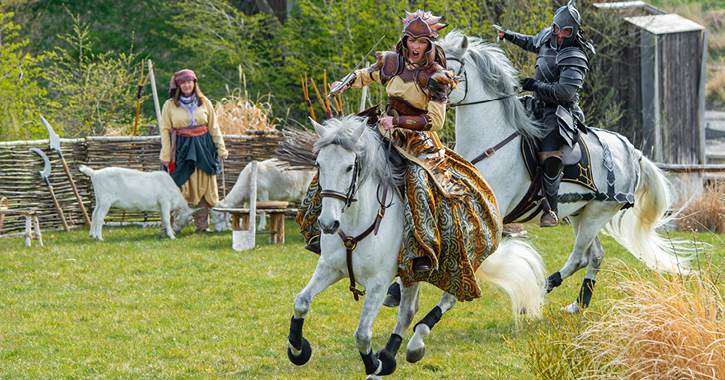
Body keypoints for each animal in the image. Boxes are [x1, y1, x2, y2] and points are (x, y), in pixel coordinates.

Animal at [286, 117, 544, 378]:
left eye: (349, 167)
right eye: (318, 164)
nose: (328, 223)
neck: (357, 223)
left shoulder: (378, 283)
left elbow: (362, 335)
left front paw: (375, 365)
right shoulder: (330, 267)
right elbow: (301, 302)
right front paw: (297, 350)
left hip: (460, 266)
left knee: (444, 301)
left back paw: (406, 348)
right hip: (411, 272)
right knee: (408, 311)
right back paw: (394, 354)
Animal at [438, 31, 692, 314]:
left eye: (447, 71)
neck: (491, 139)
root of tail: (633, 152)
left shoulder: (491, 213)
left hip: (596, 214)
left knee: (580, 256)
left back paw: (541, 294)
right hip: (581, 214)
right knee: (595, 256)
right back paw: (576, 304)